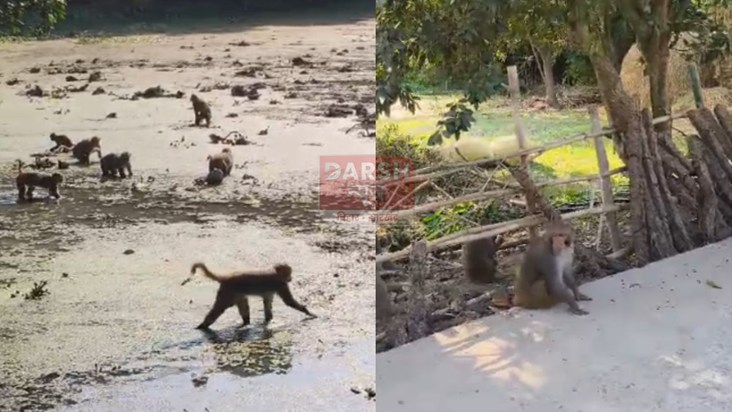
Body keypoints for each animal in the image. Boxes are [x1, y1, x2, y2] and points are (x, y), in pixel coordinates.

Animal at [184, 262, 316, 330]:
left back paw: (246, 323)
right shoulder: (280, 284)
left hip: (236, 293)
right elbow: (289, 301)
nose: (291, 278)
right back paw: (203, 326)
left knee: (243, 307)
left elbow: (267, 303)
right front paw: (308, 312)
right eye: (289, 273)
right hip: (227, 292)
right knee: (219, 309)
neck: (275, 272)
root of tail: (226, 278)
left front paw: (268, 319)